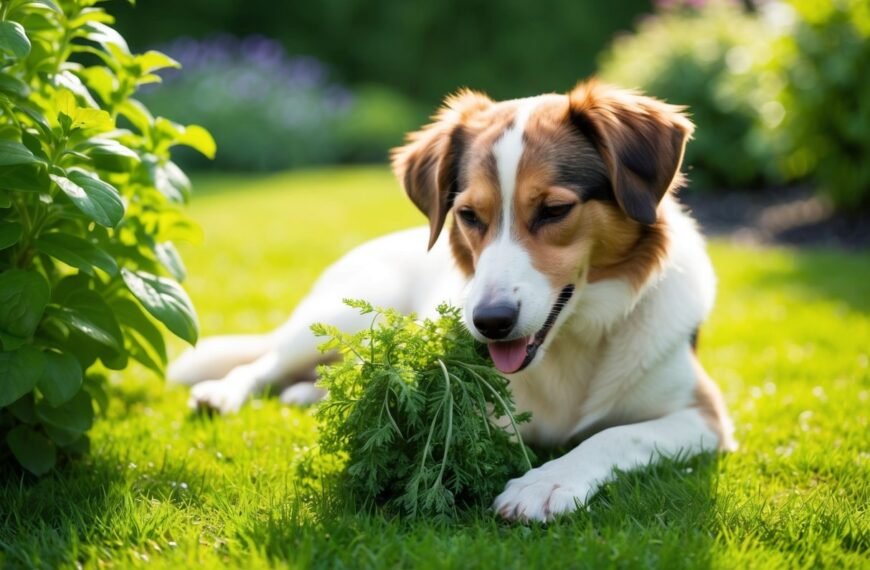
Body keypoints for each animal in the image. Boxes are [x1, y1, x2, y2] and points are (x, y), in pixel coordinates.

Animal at [174, 79, 740, 520]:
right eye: (469, 215)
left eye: (554, 210)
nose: (490, 322)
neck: (573, 343)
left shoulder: (705, 416)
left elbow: (616, 435)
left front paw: (548, 481)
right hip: (338, 317)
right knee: (265, 362)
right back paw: (223, 393)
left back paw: (302, 394)